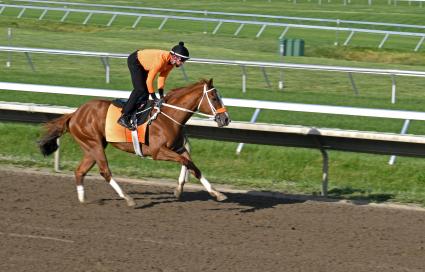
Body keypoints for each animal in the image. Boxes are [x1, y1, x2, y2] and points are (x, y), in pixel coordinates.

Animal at [39, 78, 232, 206]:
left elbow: (192, 165)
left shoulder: (177, 147)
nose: (226, 119)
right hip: (94, 145)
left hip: (92, 147)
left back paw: (82, 199)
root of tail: (75, 114)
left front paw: (215, 193)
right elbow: (186, 162)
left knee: (80, 171)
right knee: (105, 171)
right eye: (215, 98)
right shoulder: (157, 151)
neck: (168, 117)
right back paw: (127, 198)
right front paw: (179, 190)